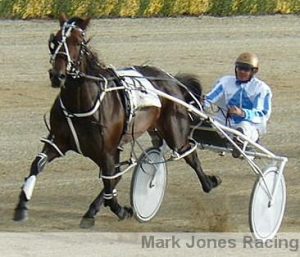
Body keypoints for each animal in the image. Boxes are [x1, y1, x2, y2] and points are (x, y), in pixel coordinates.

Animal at [12, 14, 221, 226]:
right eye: (54, 41)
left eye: (78, 42)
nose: (57, 75)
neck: (80, 105)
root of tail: (171, 79)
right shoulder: (59, 142)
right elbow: (37, 165)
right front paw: (21, 206)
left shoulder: (106, 151)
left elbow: (109, 184)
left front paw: (121, 211)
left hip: (174, 131)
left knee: (189, 153)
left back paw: (209, 182)